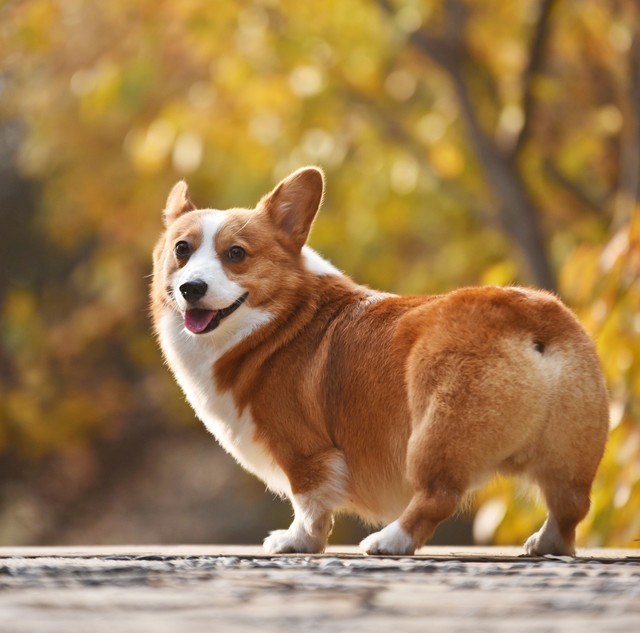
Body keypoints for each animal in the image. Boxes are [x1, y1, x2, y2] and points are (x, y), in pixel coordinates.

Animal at [150, 165, 608, 556]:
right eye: (181, 249)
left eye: (236, 254)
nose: (191, 288)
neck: (280, 319)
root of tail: (528, 313)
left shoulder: (305, 453)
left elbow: (310, 504)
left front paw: (297, 542)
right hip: (571, 450)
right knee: (571, 505)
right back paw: (546, 544)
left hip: (435, 432)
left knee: (437, 496)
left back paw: (389, 541)